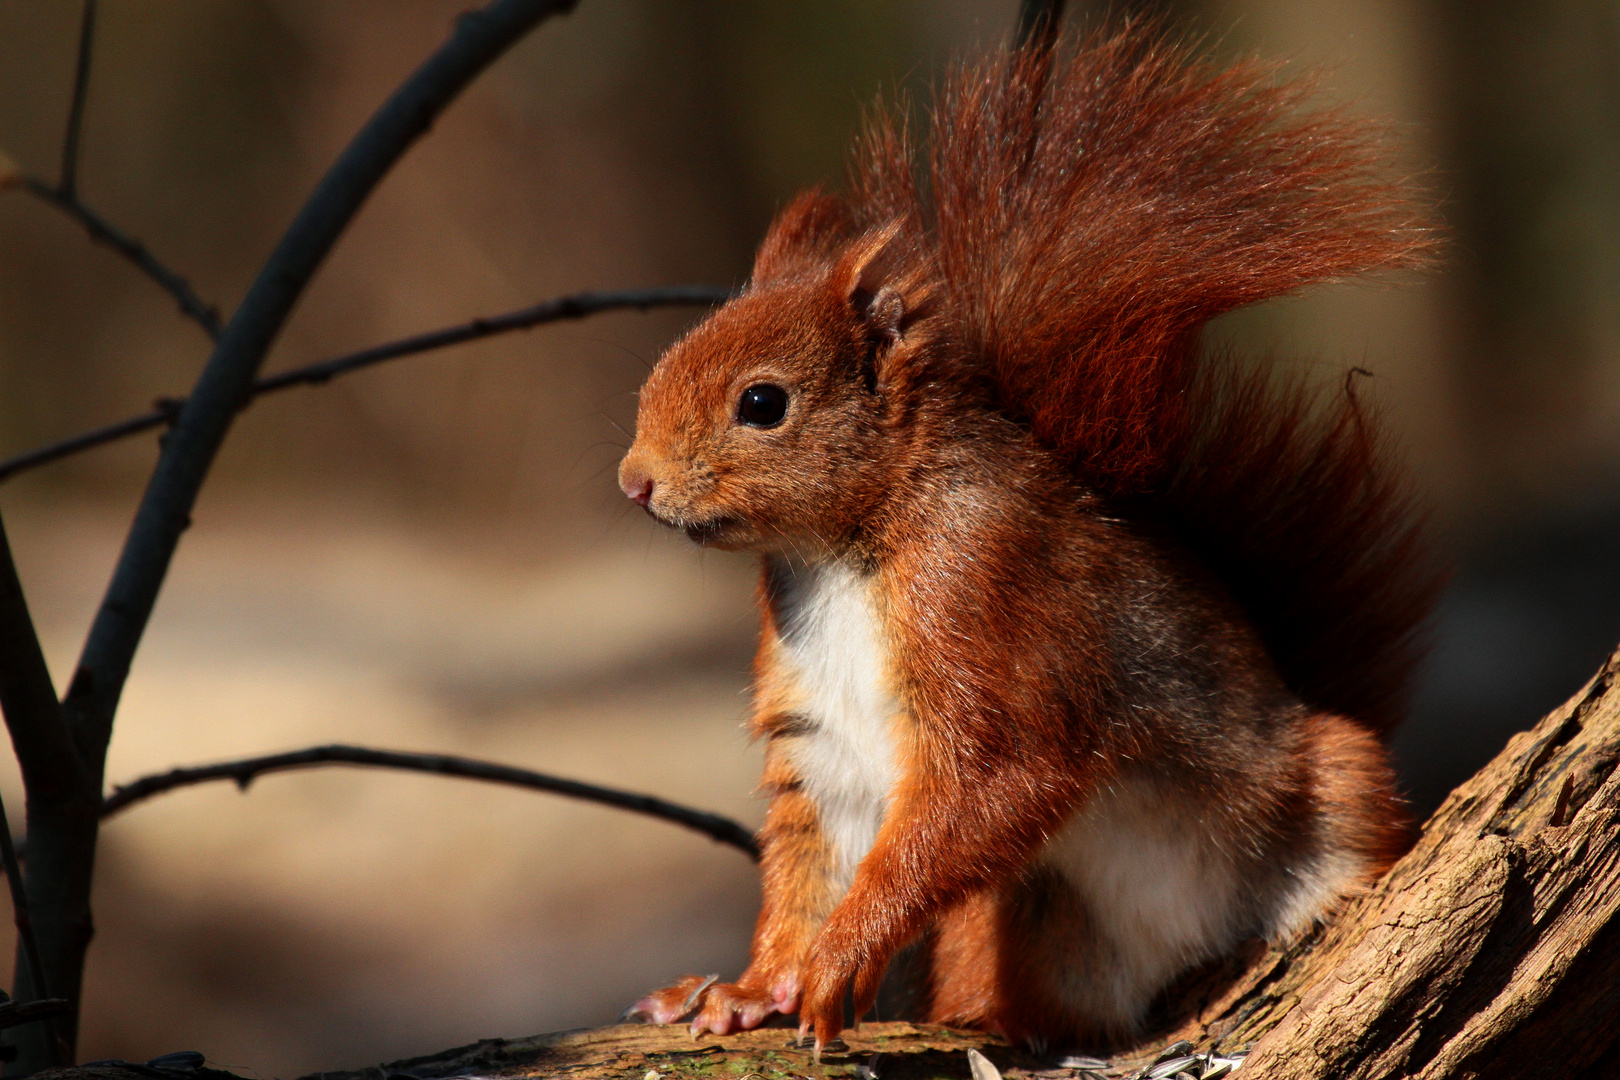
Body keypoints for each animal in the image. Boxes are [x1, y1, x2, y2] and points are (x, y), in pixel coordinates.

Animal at [612, 23, 1438, 1055]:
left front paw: (837, 961)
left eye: (762, 403)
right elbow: (811, 862)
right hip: (1004, 923)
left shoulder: (984, 598)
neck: (844, 547)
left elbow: (994, 783)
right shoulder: (819, 739)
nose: (633, 482)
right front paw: (752, 986)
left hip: (1334, 783)